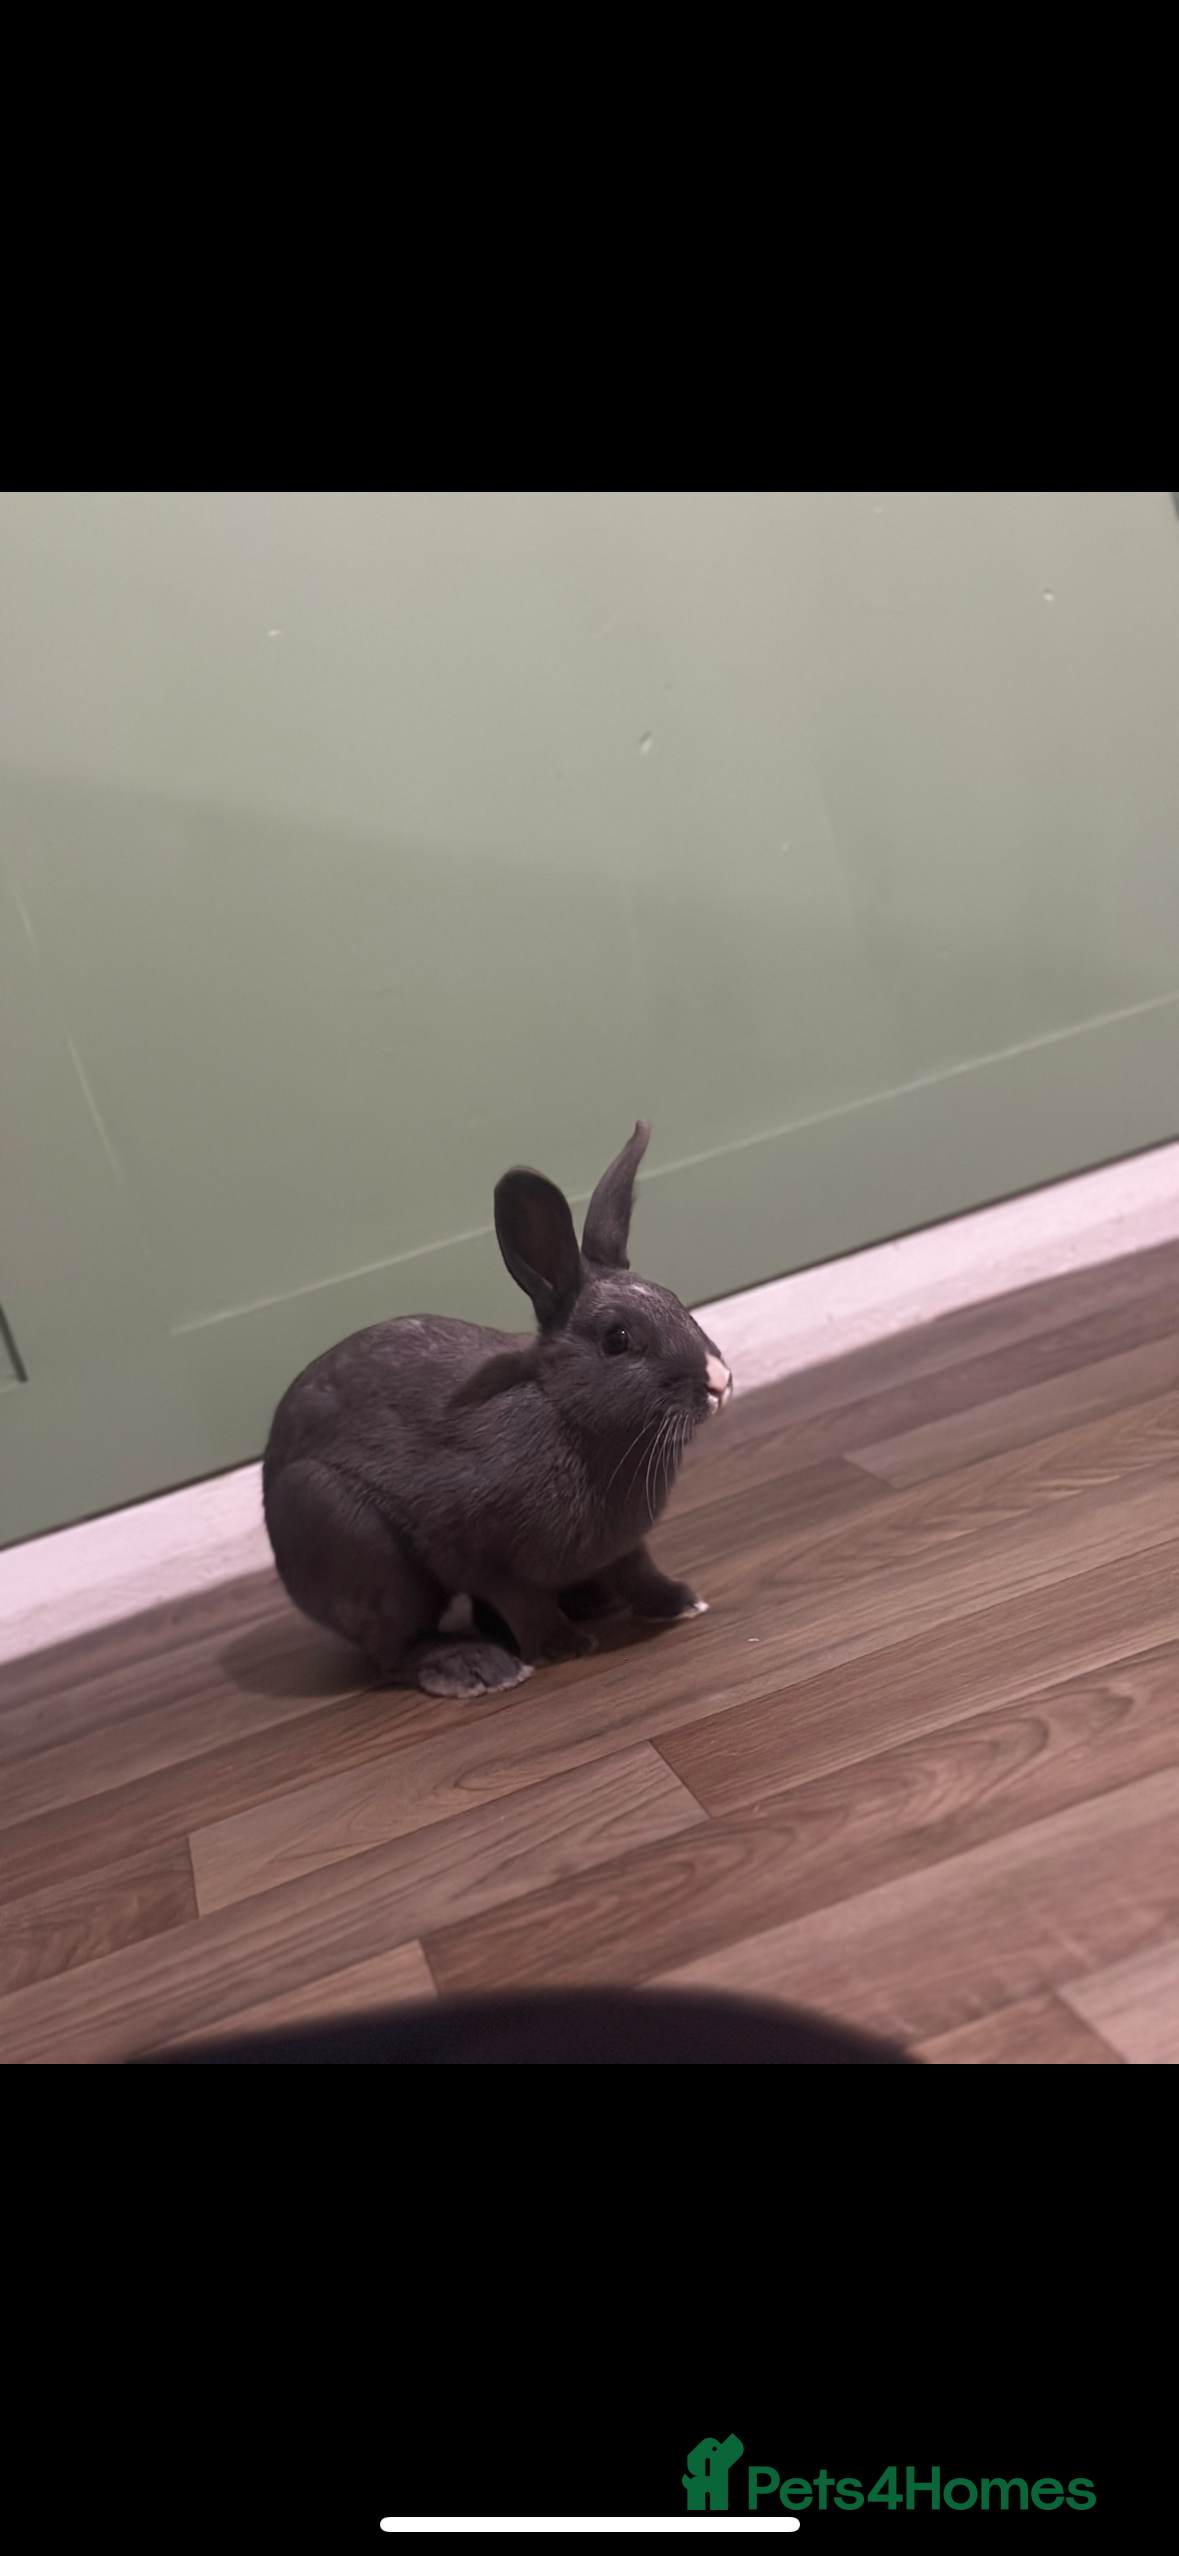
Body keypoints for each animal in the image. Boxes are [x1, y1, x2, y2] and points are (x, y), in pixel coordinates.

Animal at [261, 1121, 733, 1697]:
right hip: (361, 1547)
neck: (566, 1414)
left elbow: (639, 1572)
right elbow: (524, 1603)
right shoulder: (481, 1557)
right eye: (617, 1339)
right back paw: (479, 1667)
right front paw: (562, 1647)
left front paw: (681, 1601)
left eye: (675, 1300)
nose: (719, 1380)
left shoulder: (623, 1547)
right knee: (394, 1650)